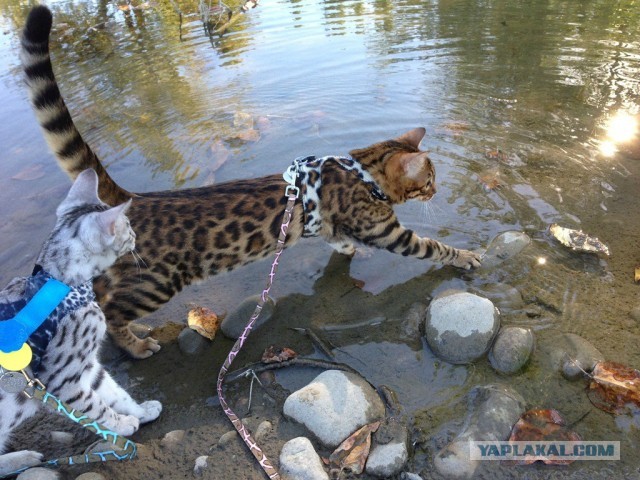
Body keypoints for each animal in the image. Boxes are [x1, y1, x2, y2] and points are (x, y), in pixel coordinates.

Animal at [20, 3, 480, 356]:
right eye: (430, 179)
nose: (438, 190)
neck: (363, 168)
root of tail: (137, 198)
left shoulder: (331, 222)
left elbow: (336, 237)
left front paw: (348, 249)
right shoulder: (387, 231)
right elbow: (431, 246)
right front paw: (466, 256)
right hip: (155, 283)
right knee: (111, 310)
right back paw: (135, 345)